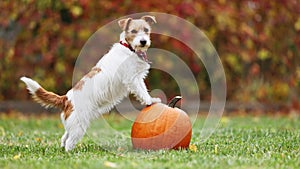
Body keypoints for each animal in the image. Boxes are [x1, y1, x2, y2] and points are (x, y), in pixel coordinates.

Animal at [20, 15, 162, 151]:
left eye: (146, 30)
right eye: (133, 31)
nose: (143, 41)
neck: (129, 48)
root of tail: (66, 98)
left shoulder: (138, 78)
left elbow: (143, 89)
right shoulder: (132, 79)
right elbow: (142, 92)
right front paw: (150, 101)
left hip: (72, 124)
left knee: (64, 137)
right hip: (79, 126)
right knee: (69, 142)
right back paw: (70, 153)